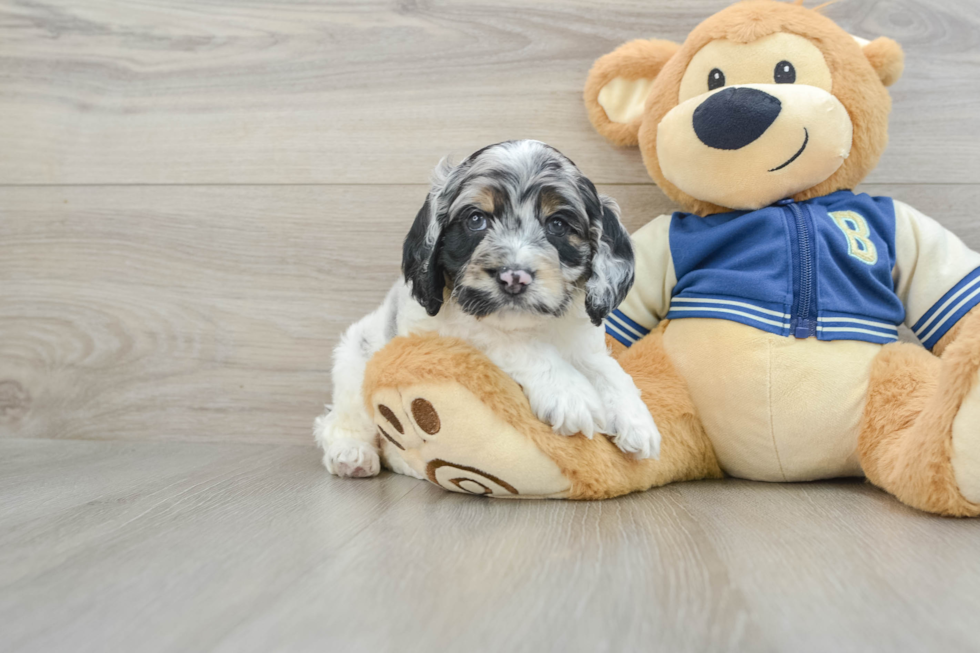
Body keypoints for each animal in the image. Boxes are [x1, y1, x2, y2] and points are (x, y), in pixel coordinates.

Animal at [318, 140, 664, 476]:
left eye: (557, 224)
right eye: (476, 220)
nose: (514, 277)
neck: (527, 321)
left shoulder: (582, 339)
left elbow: (607, 369)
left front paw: (636, 420)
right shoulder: (452, 328)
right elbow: (517, 344)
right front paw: (569, 393)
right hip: (354, 363)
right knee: (340, 421)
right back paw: (352, 455)